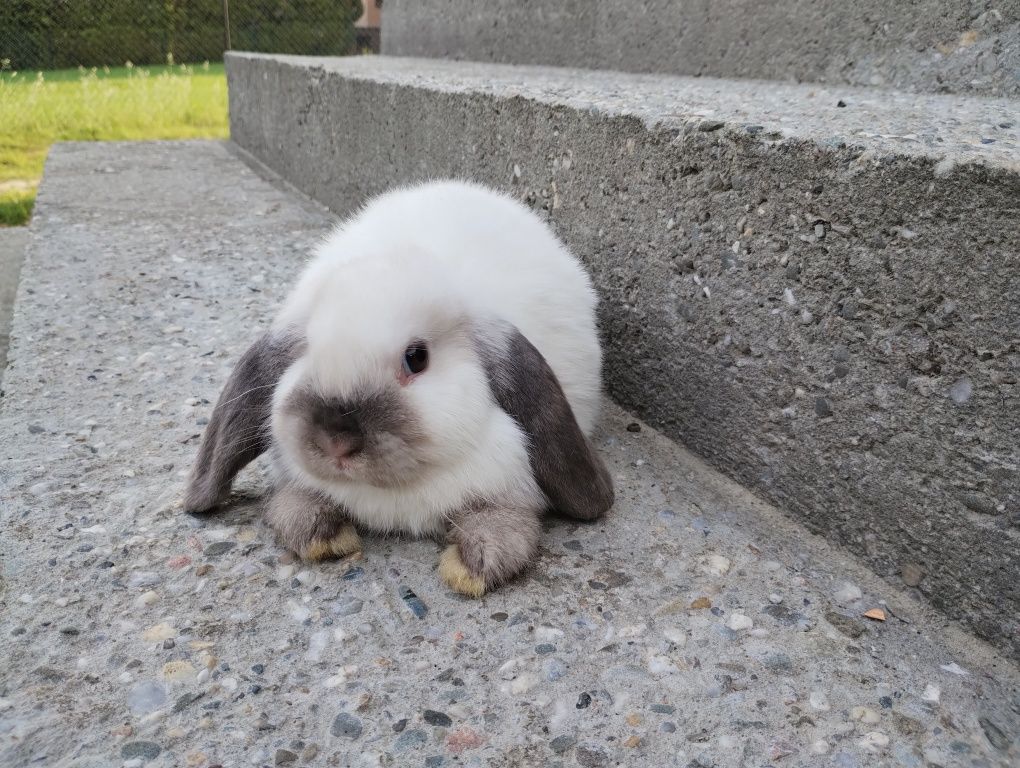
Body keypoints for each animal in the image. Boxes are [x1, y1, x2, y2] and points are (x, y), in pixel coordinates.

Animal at [183, 178, 612, 591]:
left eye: (416, 358)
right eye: (306, 348)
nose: (336, 442)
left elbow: (502, 521)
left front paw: (472, 567)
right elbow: (295, 505)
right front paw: (322, 535)